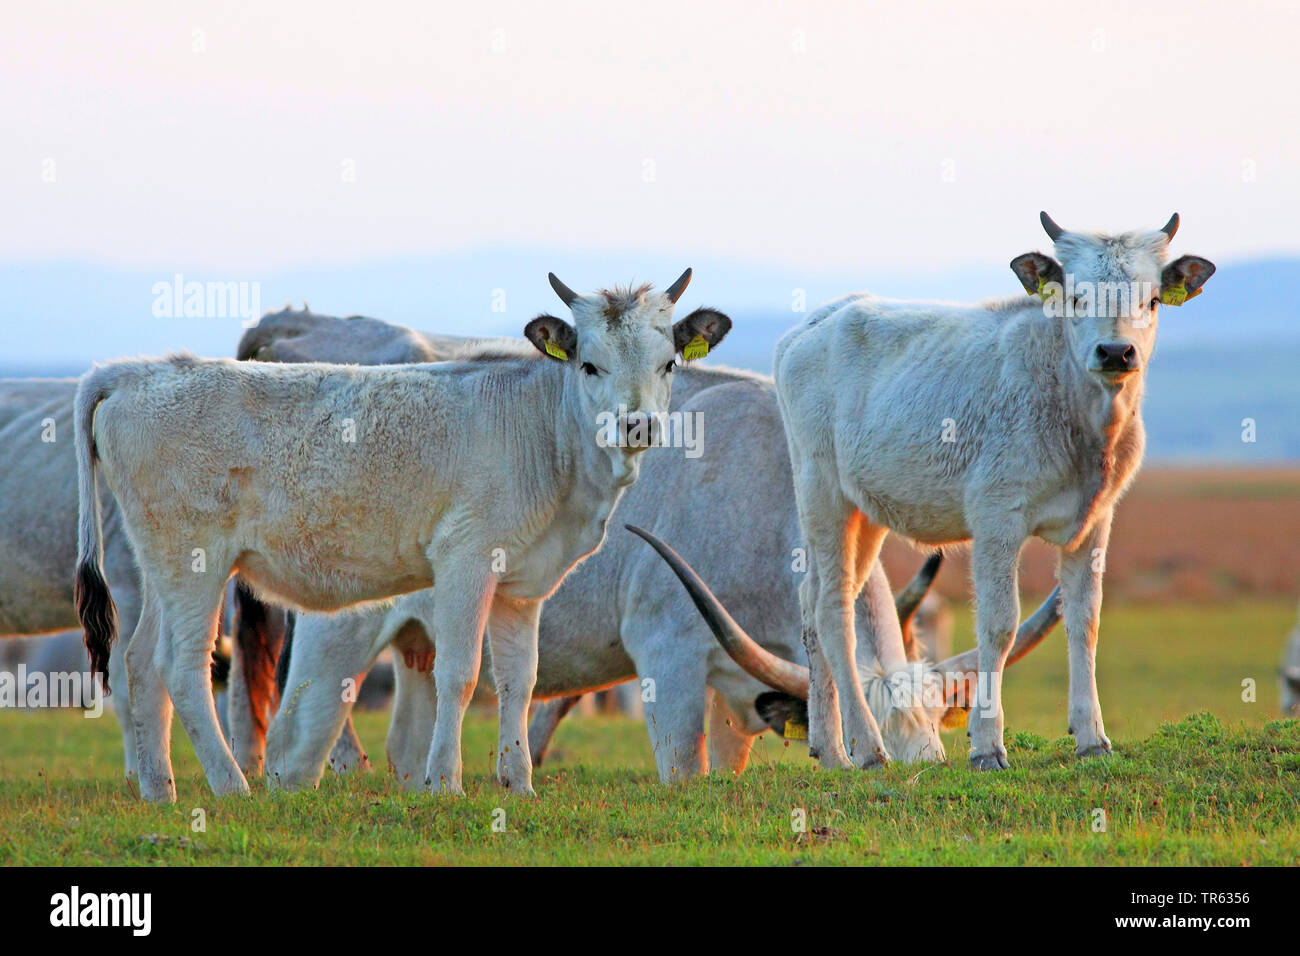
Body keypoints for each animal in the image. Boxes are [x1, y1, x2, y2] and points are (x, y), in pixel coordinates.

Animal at [74, 270, 730, 801]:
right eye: (589, 364)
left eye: (669, 364)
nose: (637, 423)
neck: (545, 432)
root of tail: (137, 371)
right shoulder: (465, 560)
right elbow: (460, 674)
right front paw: (446, 782)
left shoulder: (523, 584)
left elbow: (520, 682)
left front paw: (519, 784)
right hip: (194, 562)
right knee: (183, 666)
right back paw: (231, 785)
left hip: (163, 567)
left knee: (139, 663)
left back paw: (160, 790)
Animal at [770, 212, 1215, 770]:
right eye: (1076, 298)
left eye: (1152, 300)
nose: (1116, 351)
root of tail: (815, 323)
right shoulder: (996, 518)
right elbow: (998, 626)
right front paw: (986, 746)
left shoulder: (1094, 523)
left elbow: (1084, 620)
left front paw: (1092, 738)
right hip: (821, 491)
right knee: (833, 610)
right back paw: (868, 748)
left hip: (864, 512)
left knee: (813, 605)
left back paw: (830, 749)